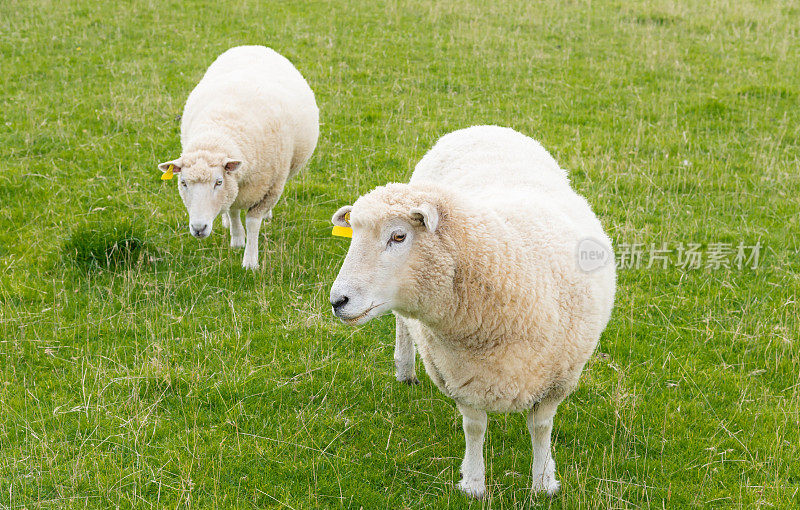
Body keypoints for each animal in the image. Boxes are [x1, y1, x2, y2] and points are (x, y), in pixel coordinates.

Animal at [158, 46, 318, 270]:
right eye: (183, 183)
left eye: (218, 182)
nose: (199, 228)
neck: (220, 133)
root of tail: (252, 46)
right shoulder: (234, 185)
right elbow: (233, 212)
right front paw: (237, 240)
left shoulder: (268, 187)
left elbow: (252, 222)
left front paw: (250, 261)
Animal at [328, 125, 616, 496]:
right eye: (353, 234)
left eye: (398, 236)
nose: (338, 301)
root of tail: (484, 127)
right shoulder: (459, 376)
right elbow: (475, 427)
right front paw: (475, 483)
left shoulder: (557, 378)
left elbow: (540, 427)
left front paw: (542, 481)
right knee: (403, 323)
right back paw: (405, 369)